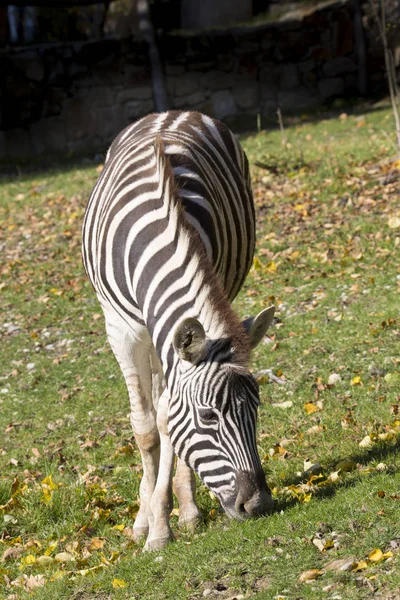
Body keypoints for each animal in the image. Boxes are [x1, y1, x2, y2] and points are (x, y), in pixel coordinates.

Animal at [81, 110, 276, 552]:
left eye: (257, 408)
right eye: (207, 416)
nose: (257, 505)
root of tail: (168, 112)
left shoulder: (209, 284)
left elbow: (169, 419)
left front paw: (166, 520)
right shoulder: (121, 330)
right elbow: (145, 428)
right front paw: (146, 523)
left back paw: (184, 509)